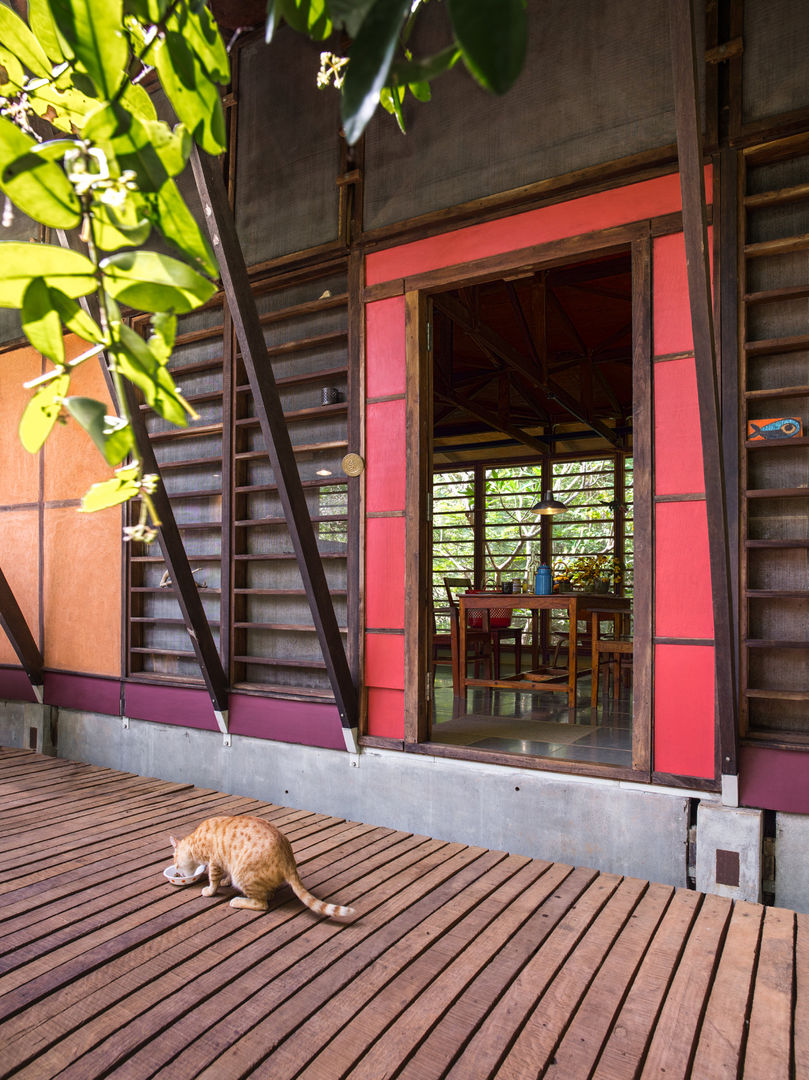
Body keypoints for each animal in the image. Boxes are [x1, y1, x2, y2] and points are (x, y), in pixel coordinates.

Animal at [169, 812, 354, 915]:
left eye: (176, 865)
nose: (178, 872)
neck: (195, 841)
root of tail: (288, 859)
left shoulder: (214, 861)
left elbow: (213, 880)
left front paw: (210, 890)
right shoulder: (225, 861)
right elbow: (225, 873)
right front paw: (226, 881)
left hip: (243, 876)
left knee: (262, 904)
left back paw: (238, 901)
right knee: (268, 894)